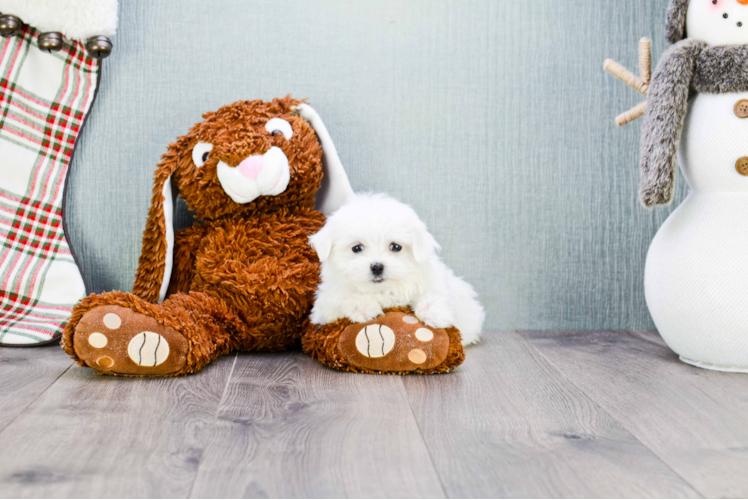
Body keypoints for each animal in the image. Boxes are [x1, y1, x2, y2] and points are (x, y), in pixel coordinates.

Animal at [308, 193, 486, 346]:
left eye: (395, 247)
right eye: (357, 248)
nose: (377, 267)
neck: (382, 290)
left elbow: (434, 295)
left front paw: (434, 313)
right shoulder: (324, 306)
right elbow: (341, 299)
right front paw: (363, 306)